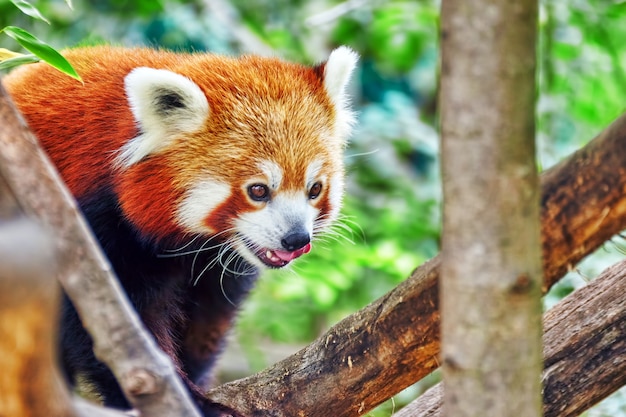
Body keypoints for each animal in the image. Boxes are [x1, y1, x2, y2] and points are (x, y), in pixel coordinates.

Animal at [2, 45, 356, 416]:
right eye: (258, 190)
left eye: (314, 189)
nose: (297, 239)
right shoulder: (91, 222)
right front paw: (186, 399)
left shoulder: (217, 267)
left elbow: (206, 318)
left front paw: (196, 381)